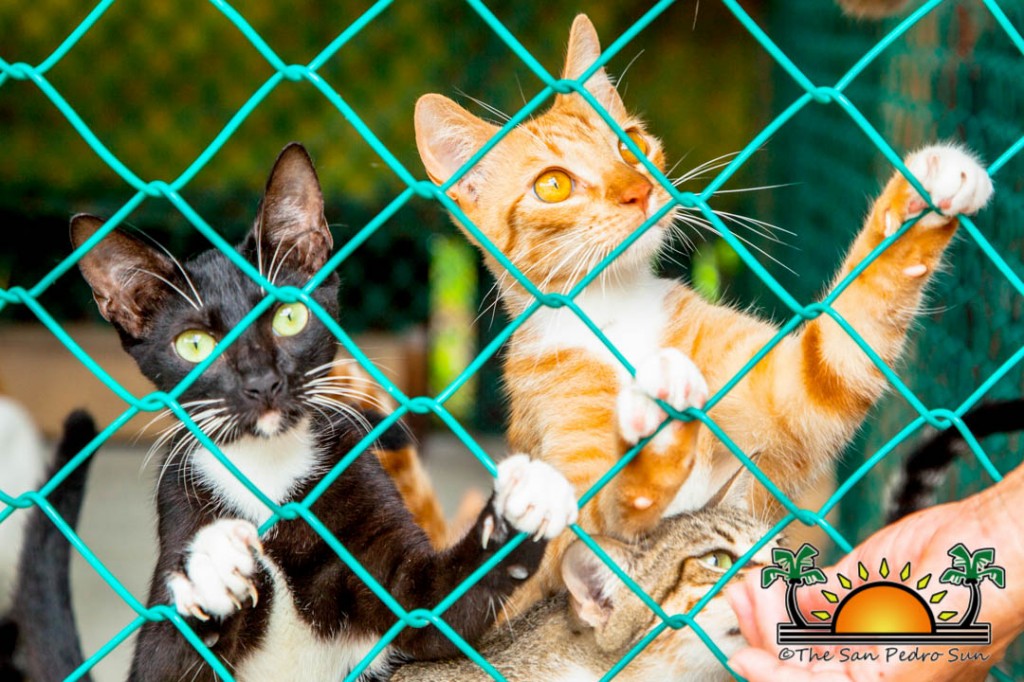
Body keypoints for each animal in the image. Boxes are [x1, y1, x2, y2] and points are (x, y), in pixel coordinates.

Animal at [16, 142, 579, 681]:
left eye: (289, 316)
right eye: (194, 344)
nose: (262, 381)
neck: (269, 471)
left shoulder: (399, 569)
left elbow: (436, 607)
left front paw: (524, 500)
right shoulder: (180, 511)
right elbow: (167, 655)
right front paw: (212, 569)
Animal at [413, 13, 994, 617]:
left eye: (629, 145)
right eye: (553, 185)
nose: (638, 191)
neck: (614, 311)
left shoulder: (797, 392)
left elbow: (851, 327)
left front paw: (923, 195)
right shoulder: (565, 553)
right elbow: (605, 519)